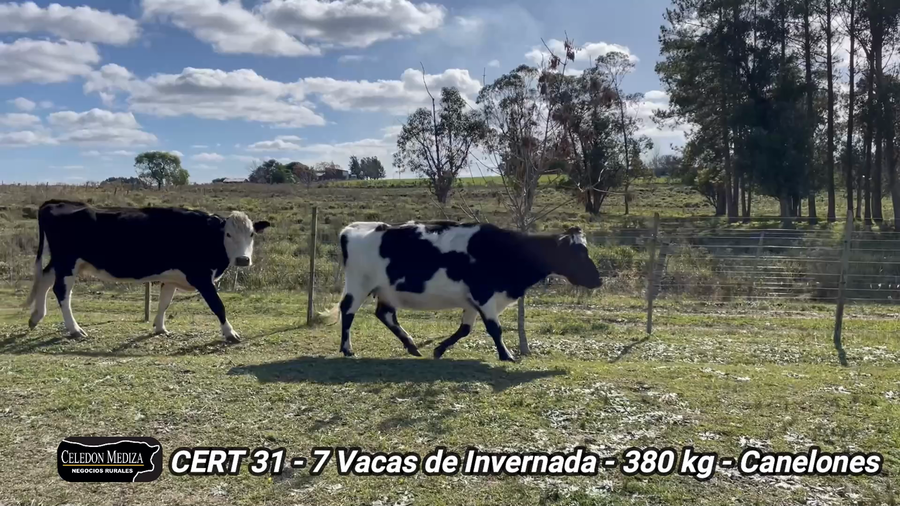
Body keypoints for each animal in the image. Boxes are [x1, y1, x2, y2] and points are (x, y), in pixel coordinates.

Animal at [24, 199, 271, 343]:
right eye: (228, 234)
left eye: (251, 234)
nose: (242, 259)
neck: (206, 235)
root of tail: (56, 203)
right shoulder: (201, 277)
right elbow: (218, 306)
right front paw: (230, 333)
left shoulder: (172, 277)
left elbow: (165, 302)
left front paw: (160, 328)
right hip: (68, 263)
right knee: (61, 291)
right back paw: (74, 329)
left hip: (61, 262)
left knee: (45, 279)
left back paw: (36, 317)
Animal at [327, 220, 602, 362]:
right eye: (578, 253)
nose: (598, 279)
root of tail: (353, 228)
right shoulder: (484, 294)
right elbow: (495, 328)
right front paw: (507, 355)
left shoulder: (473, 301)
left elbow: (465, 329)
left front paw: (439, 349)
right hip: (359, 285)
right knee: (348, 312)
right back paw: (347, 349)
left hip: (385, 290)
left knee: (385, 315)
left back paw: (411, 345)